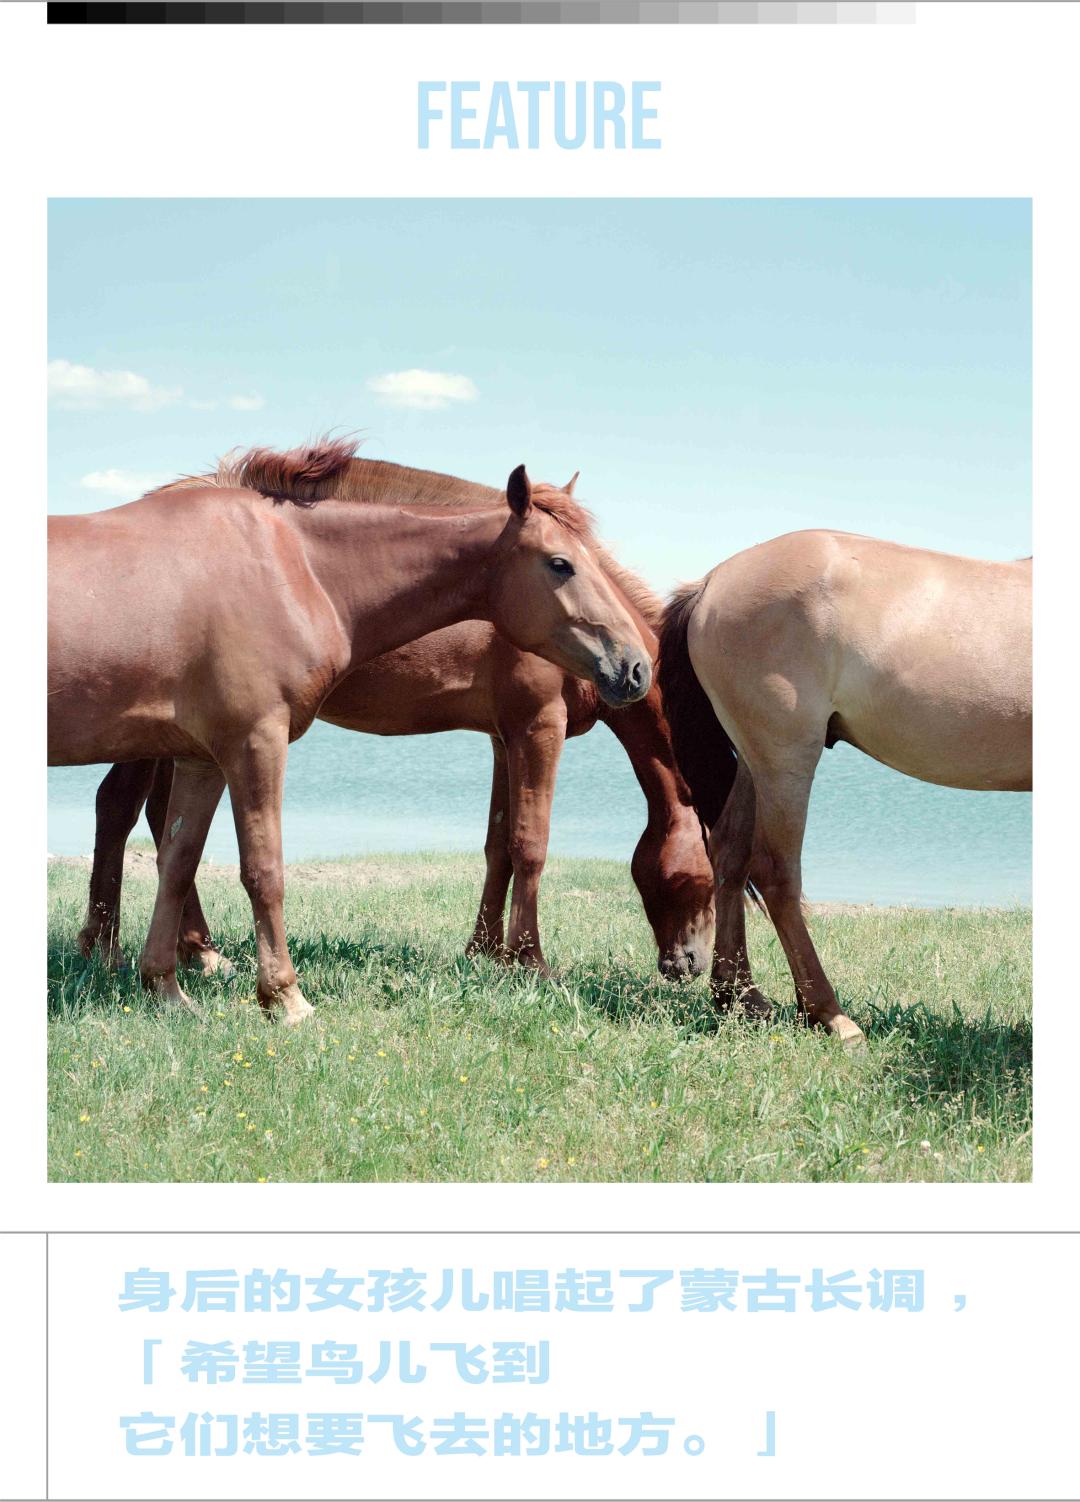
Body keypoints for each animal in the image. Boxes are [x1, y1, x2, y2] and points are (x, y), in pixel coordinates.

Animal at [49, 439, 653, 1023]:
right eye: (561, 564)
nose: (635, 667)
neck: (292, 567)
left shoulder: (203, 757)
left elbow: (178, 861)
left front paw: (166, 991)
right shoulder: (255, 742)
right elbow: (263, 870)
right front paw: (284, 998)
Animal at [657, 530, 1032, 1048]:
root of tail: (711, 582)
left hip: (755, 761)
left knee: (730, 853)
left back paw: (741, 998)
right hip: (787, 759)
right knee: (777, 873)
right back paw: (828, 1013)